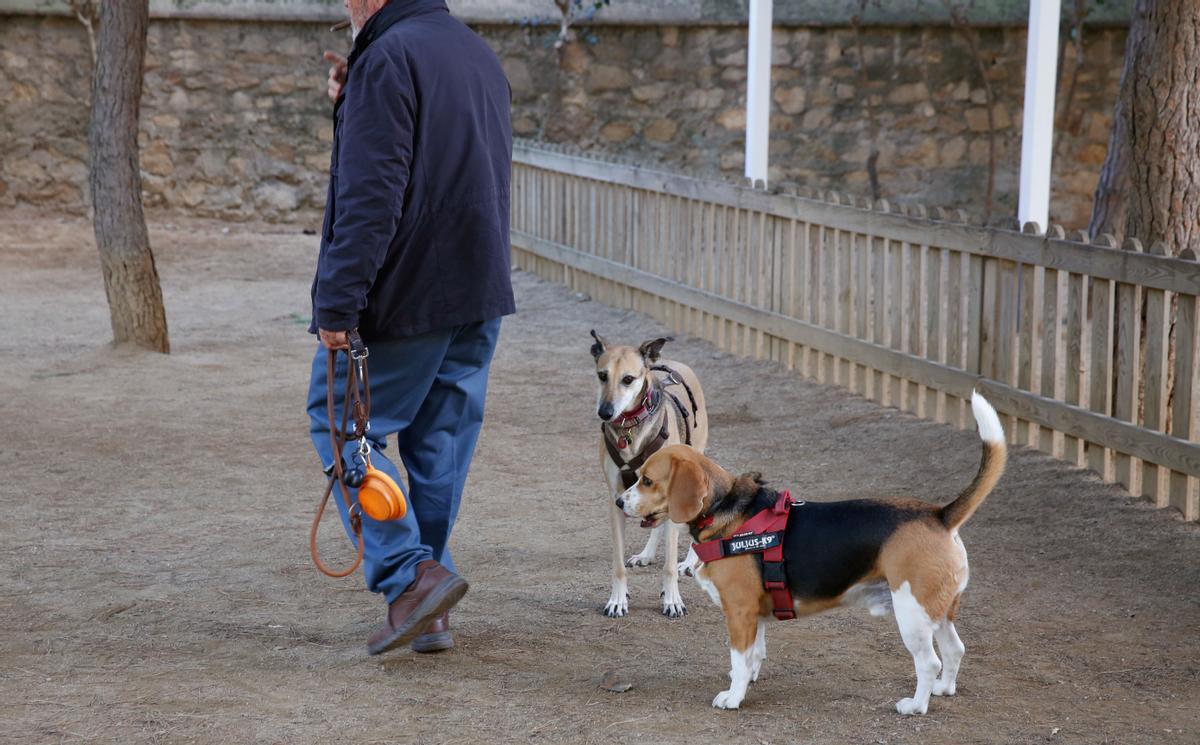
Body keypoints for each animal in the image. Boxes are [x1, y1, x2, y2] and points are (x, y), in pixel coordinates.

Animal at [588, 331, 700, 614]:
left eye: (628, 379)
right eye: (602, 375)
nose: (605, 412)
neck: (630, 427)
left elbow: (668, 565)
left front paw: (672, 600)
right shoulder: (616, 499)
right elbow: (617, 565)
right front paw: (617, 600)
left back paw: (689, 563)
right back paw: (646, 555)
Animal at [619, 391, 1003, 710]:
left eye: (648, 481)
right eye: (638, 477)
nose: (618, 501)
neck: (724, 507)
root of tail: (940, 515)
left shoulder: (739, 611)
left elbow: (738, 661)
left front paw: (733, 696)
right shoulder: (755, 614)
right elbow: (755, 655)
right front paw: (749, 682)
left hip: (911, 613)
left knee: (929, 661)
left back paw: (915, 705)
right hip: (937, 610)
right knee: (954, 650)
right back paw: (943, 689)